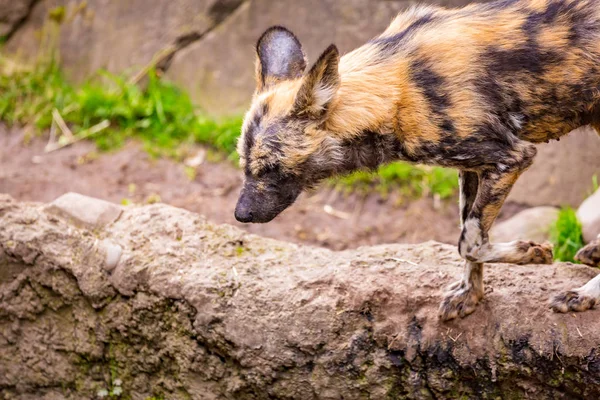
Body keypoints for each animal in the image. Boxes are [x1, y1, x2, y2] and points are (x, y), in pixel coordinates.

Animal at [233, 0, 600, 320]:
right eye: (245, 167)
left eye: (271, 168)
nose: (240, 214)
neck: (397, 92)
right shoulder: (473, 167)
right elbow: (470, 237)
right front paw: (470, 296)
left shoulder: (511, 158)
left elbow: (468, 242)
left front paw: (532, 251)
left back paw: (584, 294)